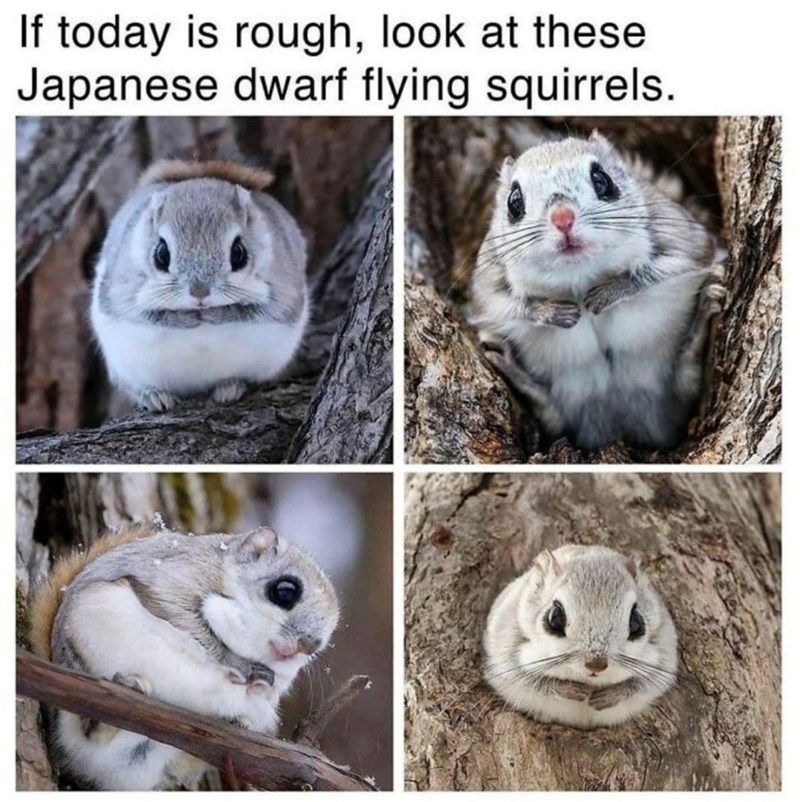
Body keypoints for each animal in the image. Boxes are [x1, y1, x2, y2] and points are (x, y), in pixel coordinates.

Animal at [29, 521, 339, 790]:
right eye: (286, 590)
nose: (310, 645)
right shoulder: (175, 581)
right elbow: (190, 623)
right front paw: (238, 664)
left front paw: (260, 684)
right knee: (87, 732)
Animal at [91, 159, 309, 412]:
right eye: (161, 254)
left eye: (239, 253)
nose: (199, 293)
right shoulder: (122, 291)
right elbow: (146, 314)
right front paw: (185, 318)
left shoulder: (283, 291)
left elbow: (257, 311)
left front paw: (218, 314)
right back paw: (154, 396)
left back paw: (230, 387)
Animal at [470, 131, 726, 451]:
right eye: (513, 202)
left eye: (602, 179)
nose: (563, 218)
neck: (580, 275)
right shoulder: (488, 281)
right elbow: (501, 305)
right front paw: (554, 312)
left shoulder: (684, 241)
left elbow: (663, 270)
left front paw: (607, 293)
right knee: (550, 413)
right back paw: (509, 366)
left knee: (686, 378)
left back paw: (702, 320)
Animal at [483, 545, 677, 729]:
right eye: (554, 618)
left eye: (636, 622)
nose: (597, 665)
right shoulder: (504, 652)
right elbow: (532, 681)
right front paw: (573, 691)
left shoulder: (665, 654)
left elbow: (642, 684)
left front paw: (607, 696)